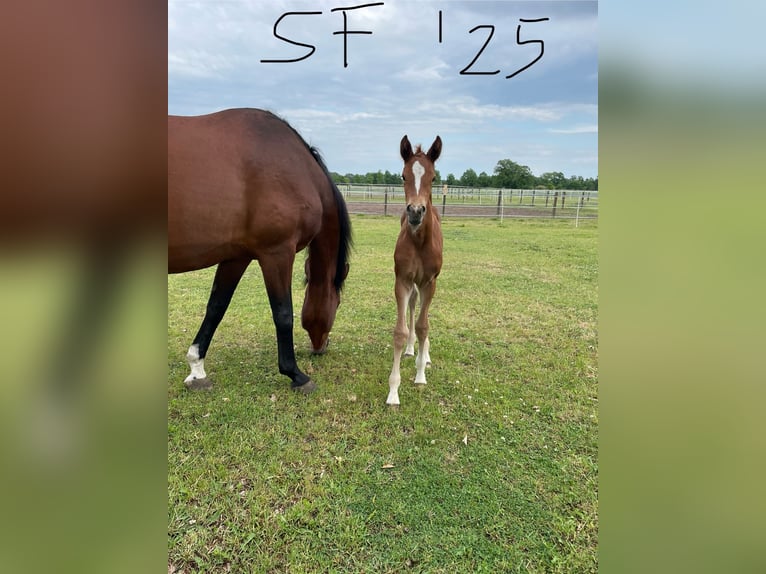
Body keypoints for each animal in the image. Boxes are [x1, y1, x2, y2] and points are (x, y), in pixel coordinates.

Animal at [168, 108, 352, 394]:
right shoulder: (277, 253)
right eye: (338, 302)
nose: (321, 347)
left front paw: (197, 368)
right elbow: (283, 313)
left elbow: (216, 307)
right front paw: (295, 374)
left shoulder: (236, 257)